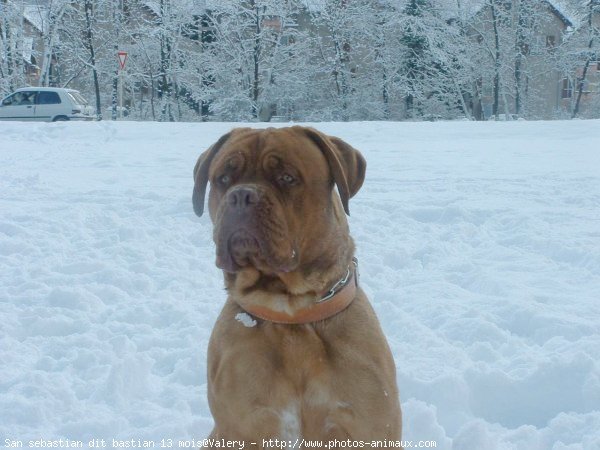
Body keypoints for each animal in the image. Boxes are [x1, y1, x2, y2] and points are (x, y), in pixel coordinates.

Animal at [195, 125, 400, 442]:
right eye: (223, 179)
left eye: (287, 178)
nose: (240, 195)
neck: (291, 312)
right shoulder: (239, 427)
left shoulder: (372, 428)